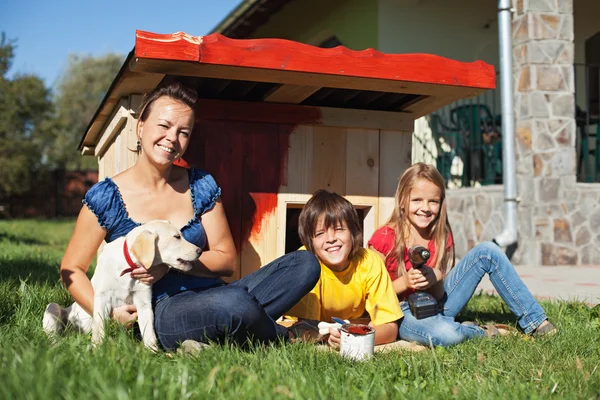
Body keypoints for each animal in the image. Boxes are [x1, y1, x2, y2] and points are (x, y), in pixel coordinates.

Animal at [42, 220, 202, 352]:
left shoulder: (143, 302)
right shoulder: (102, 297)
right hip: (52, 308)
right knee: (54, 335)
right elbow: (99, 324)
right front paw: (97, 348)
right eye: (176, 237)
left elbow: (148, 330)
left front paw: (153, 353)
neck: (129, 267)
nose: (200, 251)